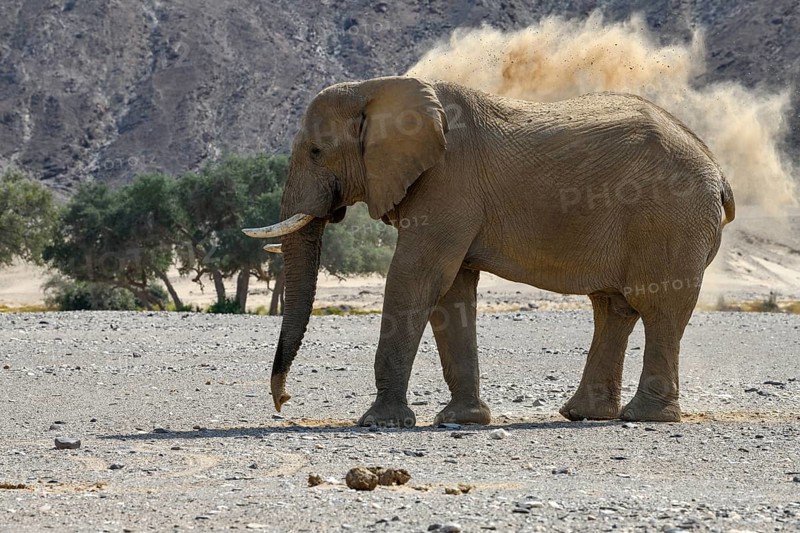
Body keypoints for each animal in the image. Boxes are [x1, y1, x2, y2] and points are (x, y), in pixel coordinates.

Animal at [243, 76, 735, 428]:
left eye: (315, 150)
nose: (283, 400)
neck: (378, 89)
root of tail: (718, 171)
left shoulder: (447, 182)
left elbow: (417, 277)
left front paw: (379, 424)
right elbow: (452, 289)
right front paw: (463, 421)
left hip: (671, 218)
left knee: (659, 306)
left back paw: (645, 417)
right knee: (613, 307)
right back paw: (583, 415)